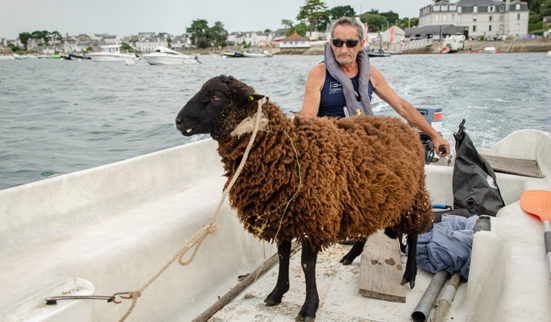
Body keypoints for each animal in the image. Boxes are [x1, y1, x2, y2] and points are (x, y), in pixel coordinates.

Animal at [175, 76, 434, 322]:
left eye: (216, 96)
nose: (178, 121)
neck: (287, 149)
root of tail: (404, 125)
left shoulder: (313, 219)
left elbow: (307, 265)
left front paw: (309, 308)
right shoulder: (281, 217)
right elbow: (282, 256)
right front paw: (277, 293)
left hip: (413, 197)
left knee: (413, 235)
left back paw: (410, 274)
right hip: (370, 198)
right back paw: (351, 255)